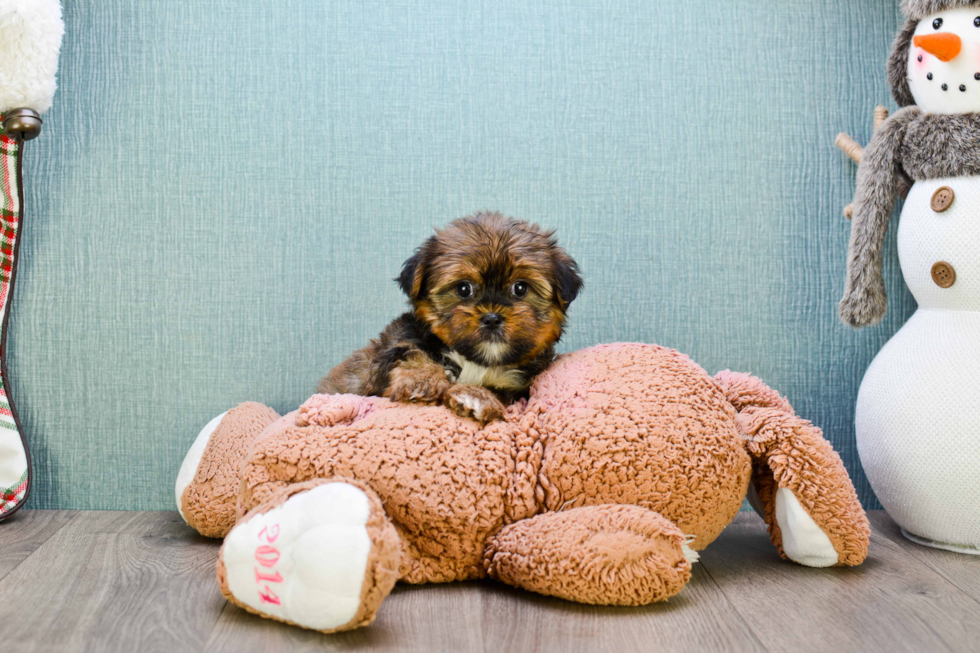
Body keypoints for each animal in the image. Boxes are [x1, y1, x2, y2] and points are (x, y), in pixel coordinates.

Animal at [318, 213, 580, 422]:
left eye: (520, 288)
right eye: (464, 289)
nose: (492, 317)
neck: (477, 361)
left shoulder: (517, 386)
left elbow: (498, 390)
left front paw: (477, 397)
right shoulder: (389, 352)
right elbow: (412, 352)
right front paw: (421, 381)